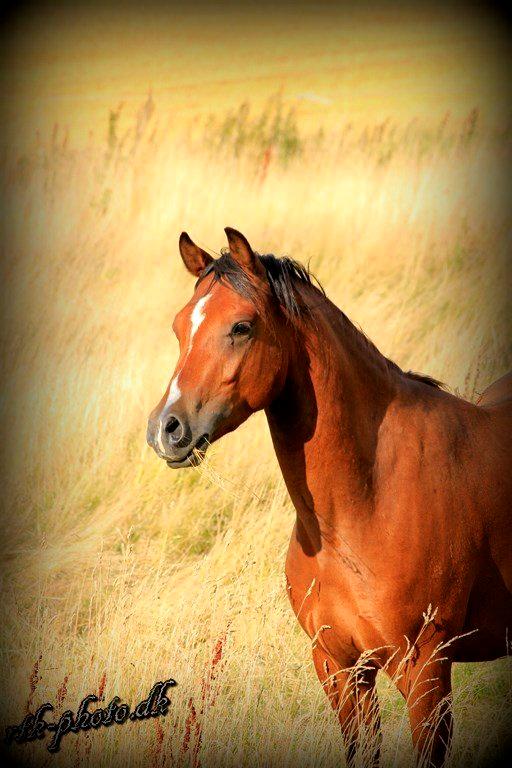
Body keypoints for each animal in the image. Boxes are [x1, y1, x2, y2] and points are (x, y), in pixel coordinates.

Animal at [147, 228, 512, 767]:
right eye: (178, 327)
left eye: (241, 327)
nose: (166, 429)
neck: (366, 504)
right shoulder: (339, 668)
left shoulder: (426, 672)